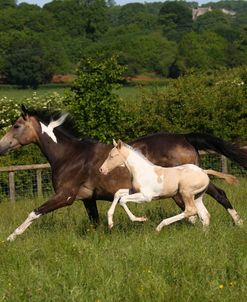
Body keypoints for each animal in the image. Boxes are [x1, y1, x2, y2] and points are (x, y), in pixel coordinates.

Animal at [99, 140, 238, 231]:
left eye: (112, 156)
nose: (101, 170)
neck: (141, 170)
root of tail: (203, 171)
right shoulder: (134, 191)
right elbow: (118, 193)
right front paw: (110, 223)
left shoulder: (146, 196)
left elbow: (122, 200)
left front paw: (141, 219)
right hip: (197, 196)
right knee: (205, 215)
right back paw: (204, 234)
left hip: (185, 192)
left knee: (191, 211)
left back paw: (160, 226)